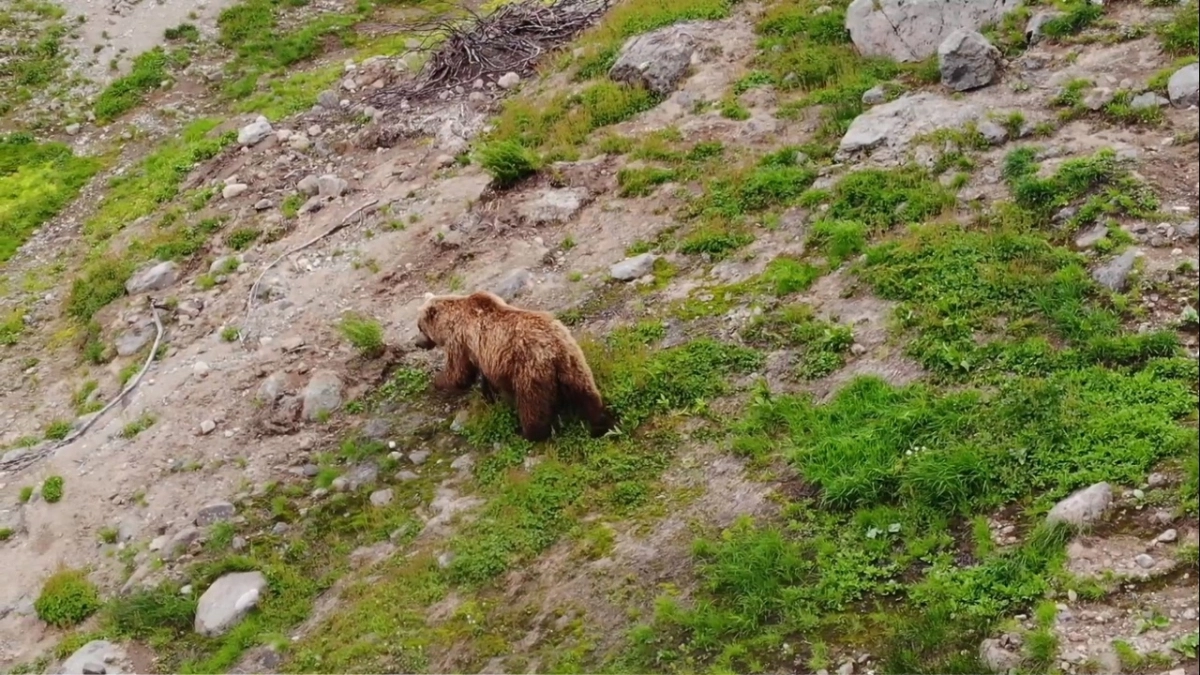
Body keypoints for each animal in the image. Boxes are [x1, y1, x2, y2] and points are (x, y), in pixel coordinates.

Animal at [413, 290, 615, 443]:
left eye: (419, 326)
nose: (417, 343)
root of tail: (553, 350)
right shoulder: (485, 354)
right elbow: (484, 378)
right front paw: (489, 396)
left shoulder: (461, 341)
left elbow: (459, 373)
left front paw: (438, 381)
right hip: (573, 362)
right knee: (585, 393)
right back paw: (600, 423)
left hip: (529, 371)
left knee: (532, 406)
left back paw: (528, 433)